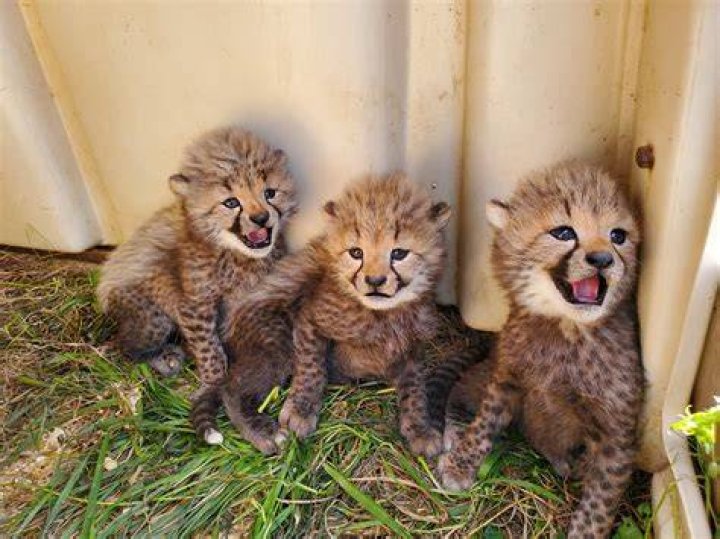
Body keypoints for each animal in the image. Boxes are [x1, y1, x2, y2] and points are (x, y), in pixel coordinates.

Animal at [437, 162, 645, 538]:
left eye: (618, 236)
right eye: (563, 232)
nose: (602, 259)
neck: (565, 330)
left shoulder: (617, 433)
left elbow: (603, 493)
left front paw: (586, 530)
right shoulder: (505, 381)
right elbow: (483, 424)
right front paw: (462, 463)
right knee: (459, 390)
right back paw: (456, 431)